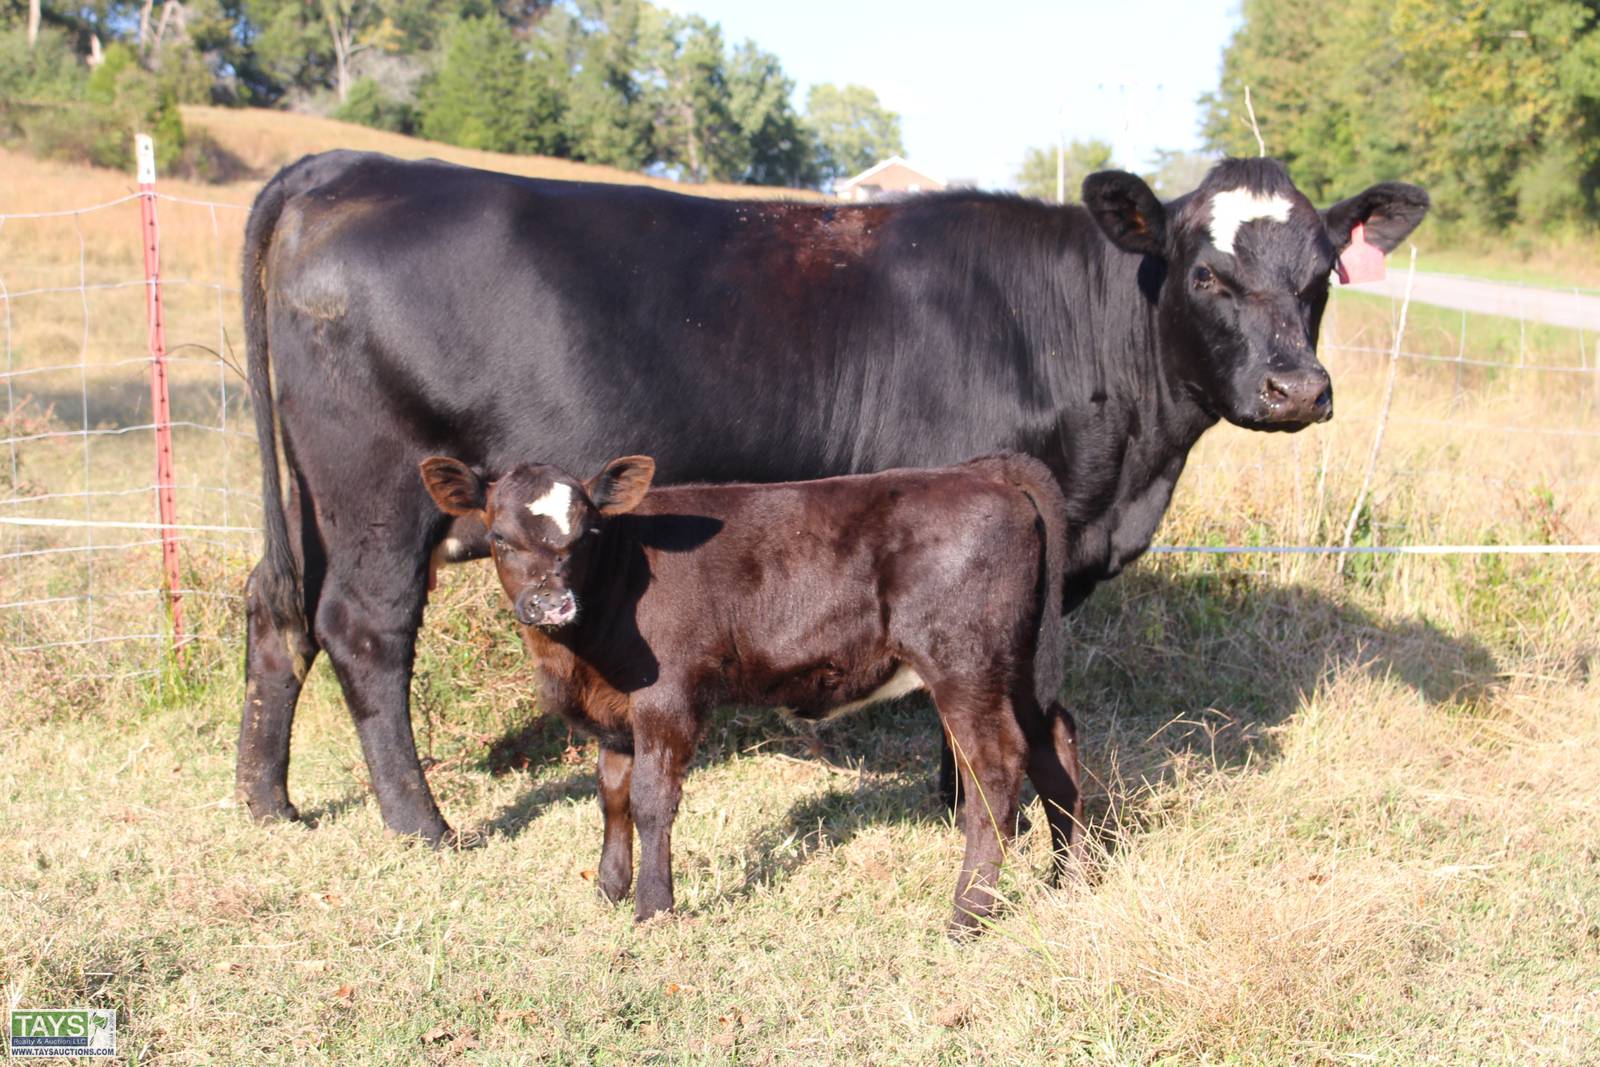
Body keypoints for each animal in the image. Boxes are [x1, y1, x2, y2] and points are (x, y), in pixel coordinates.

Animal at [238, 151, 1428, 845]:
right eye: (1206, 273)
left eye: (1322, 275)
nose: (1297, 388)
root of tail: (351, 164)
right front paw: (963, 803)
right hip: (377, 486)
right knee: (363, 628)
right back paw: (421, 823)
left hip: (312, 498)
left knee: (274, 607)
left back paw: (268, 799)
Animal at [417, 450, 1077, 932]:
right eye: (499, 537)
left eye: (586, 535)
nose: (551, 603)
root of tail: (980, 470)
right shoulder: (616, 712)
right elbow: (611, 796)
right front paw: (608, 889)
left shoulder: (668, 697)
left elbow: (652, 801)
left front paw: (653, 908)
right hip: (1014, 661)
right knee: (1054, 741)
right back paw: (1070, 877)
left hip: (963, 661)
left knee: (995, 770)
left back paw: (968, 914)